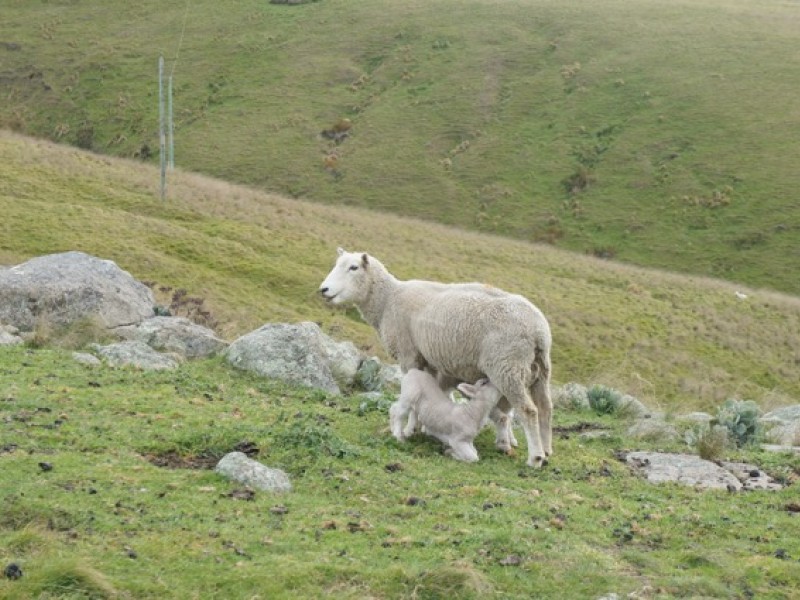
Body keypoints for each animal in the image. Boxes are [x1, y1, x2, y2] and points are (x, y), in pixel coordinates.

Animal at [319, 248, 553, 467]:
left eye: (354, 267)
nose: (323, 290)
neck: (388, 300)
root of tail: (539, 330)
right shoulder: (430, 360)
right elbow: (435, 392)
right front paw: (425, 426)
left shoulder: (409, 354)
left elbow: (414, 394)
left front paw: (410, 429)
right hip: (538, 370)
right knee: (545, 409)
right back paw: (546, 450)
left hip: (507, 365)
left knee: (528, 411)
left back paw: (535, 457)